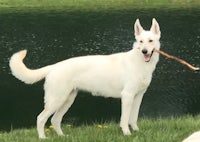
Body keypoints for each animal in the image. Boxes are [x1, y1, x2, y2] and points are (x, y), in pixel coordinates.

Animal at [9, 18, 161, 139]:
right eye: (140, 41)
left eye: (150, 41)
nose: (145, 51)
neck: (140, 62)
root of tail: (53, 67)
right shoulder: (127, 96)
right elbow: (124, 119)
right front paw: (127, 134)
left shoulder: (138, 96)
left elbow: (133, 118)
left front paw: (136, 131)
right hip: (56, 100)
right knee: (41, 118)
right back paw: (42, 138)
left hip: (67, 100)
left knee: (55, 120)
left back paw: (62, 136)